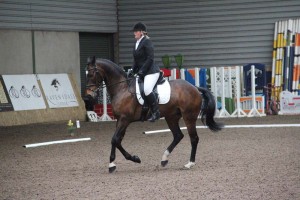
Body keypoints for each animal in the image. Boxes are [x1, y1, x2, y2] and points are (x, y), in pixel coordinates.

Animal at [85, 56, 223, 173]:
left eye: (91, 74)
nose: (87, 97)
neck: (122, 88)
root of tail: (195, 88)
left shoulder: (125, 119)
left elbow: (114, 139)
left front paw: (113, 164)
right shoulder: (120, 120)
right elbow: (117, 140)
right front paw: (132, 159)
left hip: (189, 117)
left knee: (194, 138)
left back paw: (189, 163)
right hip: (171, 117)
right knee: (178, 135)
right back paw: (164, 159)